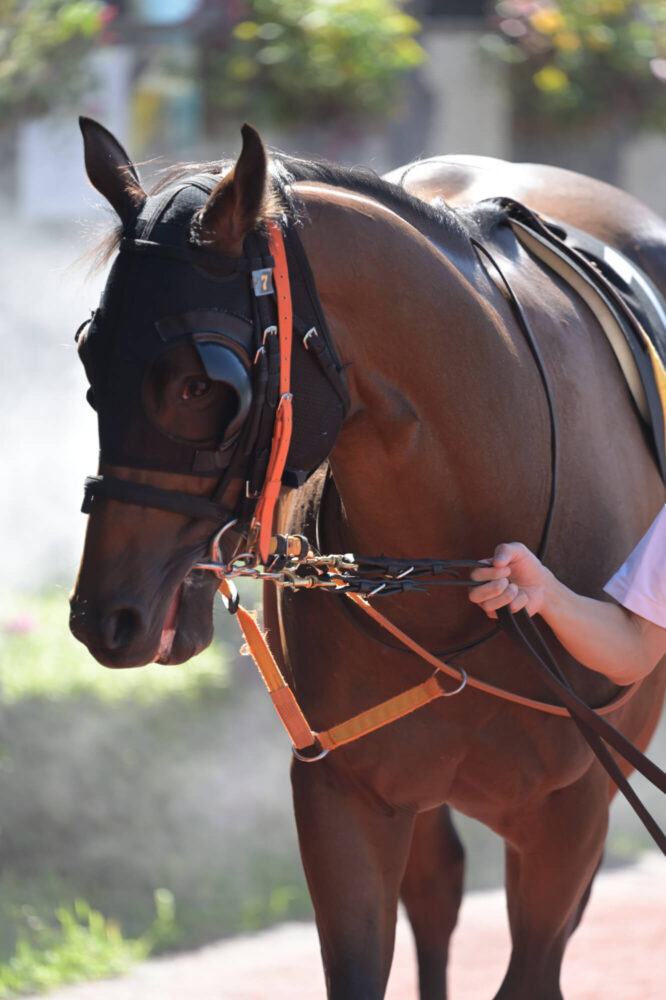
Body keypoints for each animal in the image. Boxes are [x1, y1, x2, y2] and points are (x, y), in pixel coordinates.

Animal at [68, 119, 664, 1000]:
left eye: (201, 385)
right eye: (89, 358)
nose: (105, 617)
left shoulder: (574, 809)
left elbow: (534, 965)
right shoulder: (346, 794)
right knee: (440, 889)